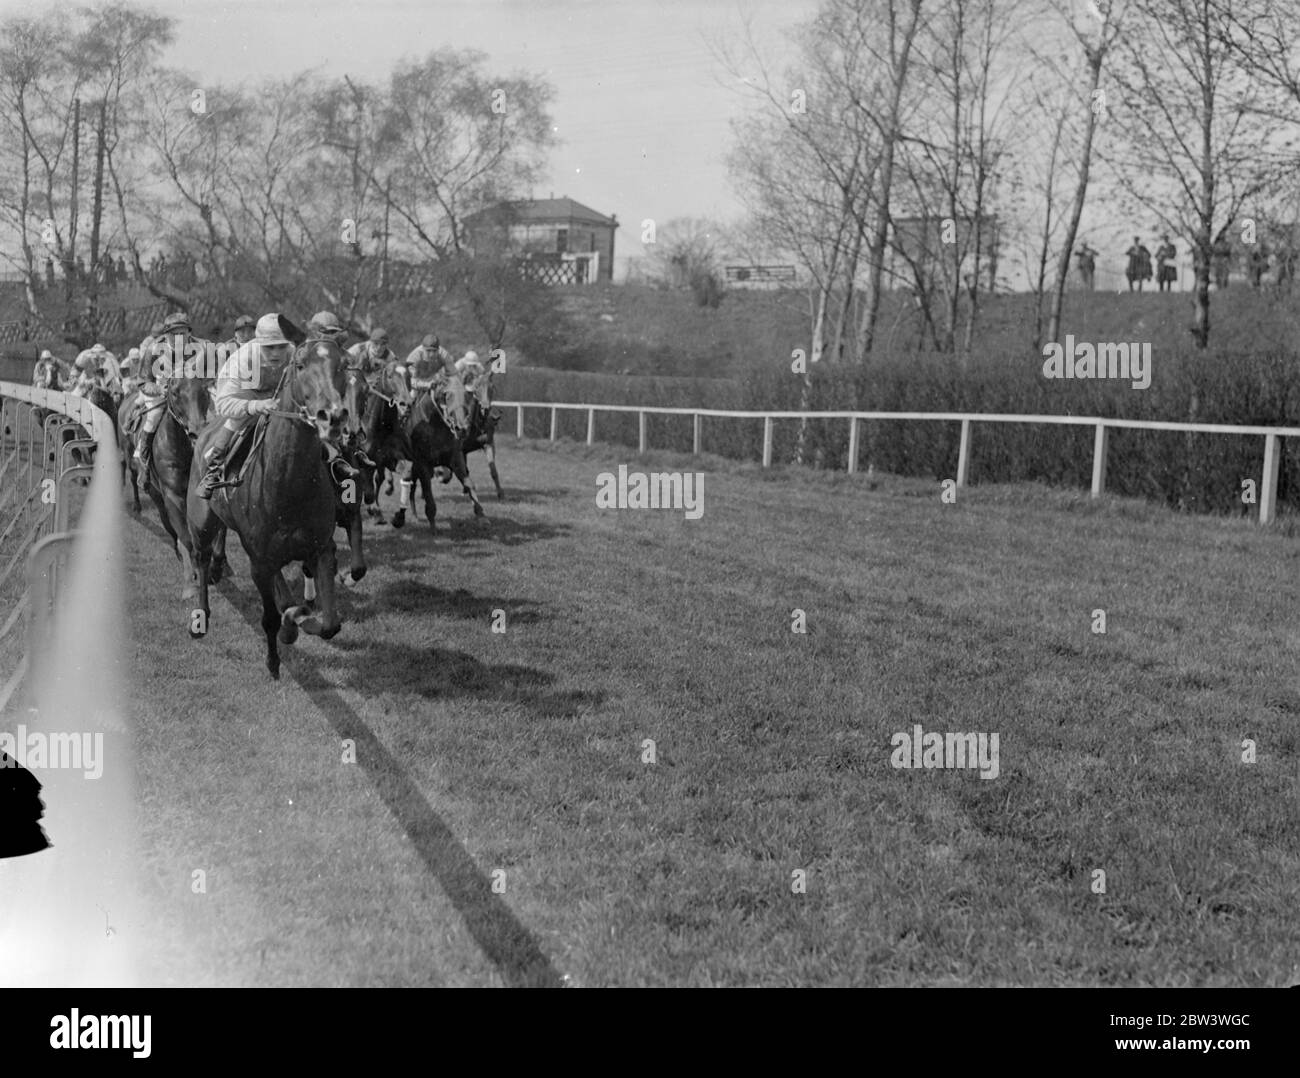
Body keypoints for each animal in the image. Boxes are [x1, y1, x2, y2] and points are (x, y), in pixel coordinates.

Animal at [118, 377, 227, 598]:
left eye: (204, 389)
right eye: (174, 392)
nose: (196, 431)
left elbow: (219, 533)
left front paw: (217, 569)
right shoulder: (173, 496)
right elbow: (186, 539)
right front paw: (191, 584)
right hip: (156, 495)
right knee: (171, 528)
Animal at [188, 332, 351, 676]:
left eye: (344, 364)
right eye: (300, 364)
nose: (332, 416)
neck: (289, 483)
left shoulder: (321, 548)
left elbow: (329, 623)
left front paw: (298, 619)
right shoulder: (259, 562)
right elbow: (270, 618)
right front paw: (275, 659)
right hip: (201, 523)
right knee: (200, 558)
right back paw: (201, 616)